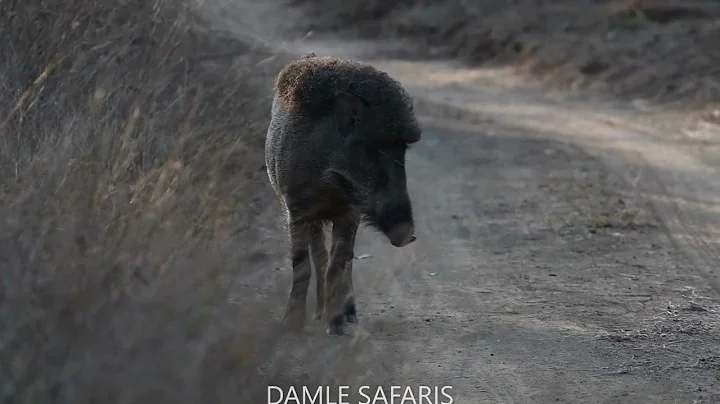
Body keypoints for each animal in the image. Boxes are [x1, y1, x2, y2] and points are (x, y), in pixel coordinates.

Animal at [265, 52, 421, 335]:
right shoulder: (296, 209)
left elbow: (339, 263)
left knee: (344, 261)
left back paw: (347, 317)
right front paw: (292, 325)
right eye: (371, 149)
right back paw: (317, 315)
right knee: (319, 256)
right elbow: (302, 264)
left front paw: (336, 327)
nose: (408, 235)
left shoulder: (349, 213)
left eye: (401, 152)